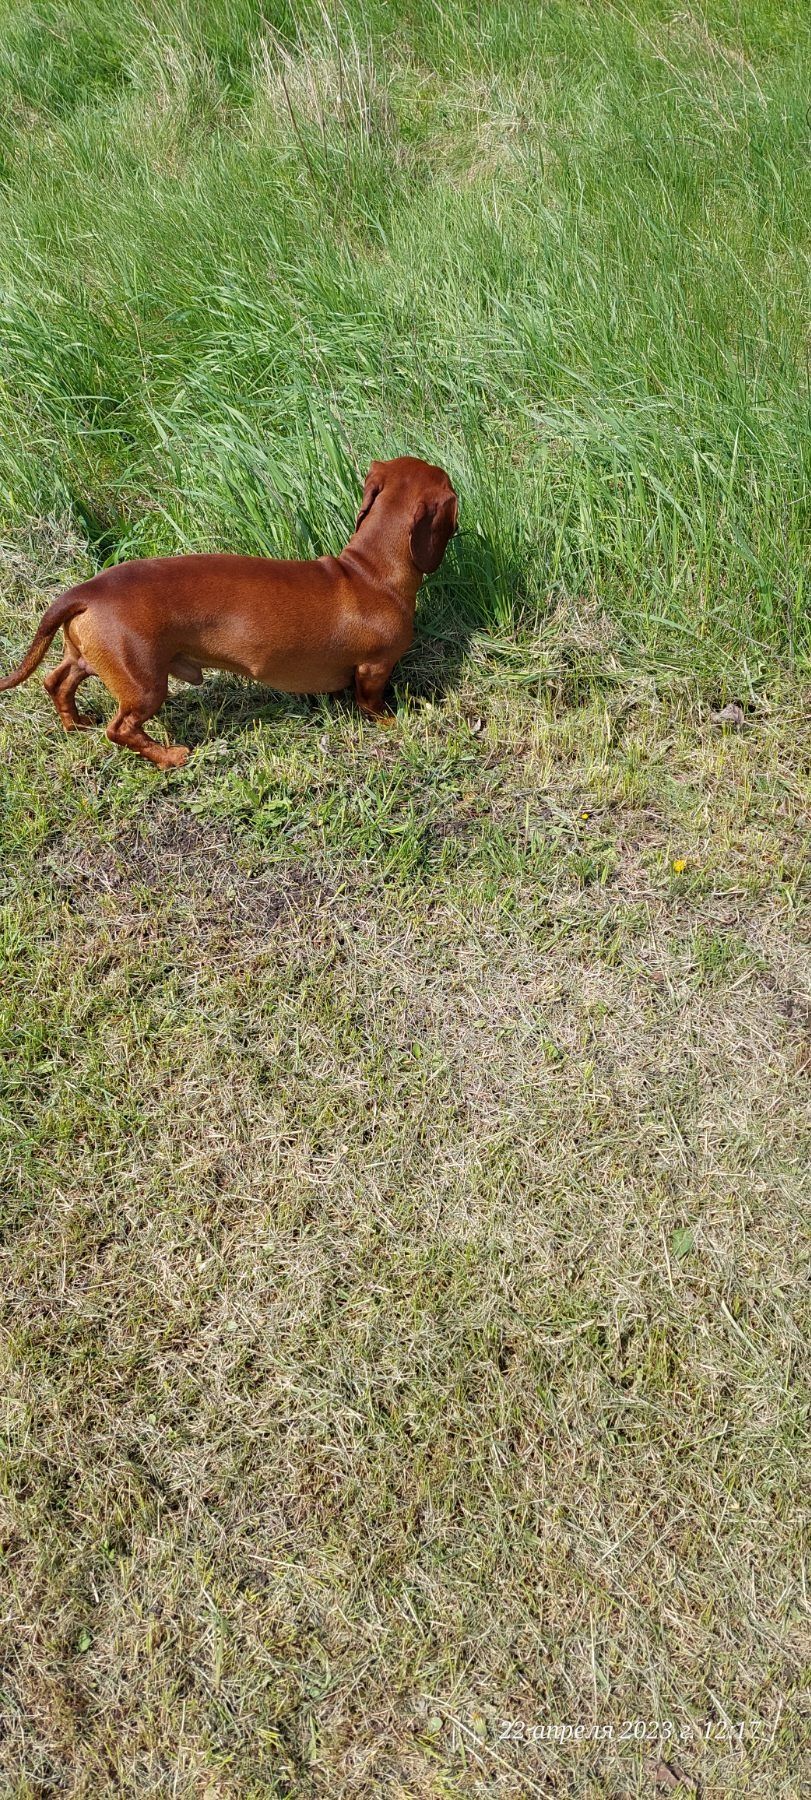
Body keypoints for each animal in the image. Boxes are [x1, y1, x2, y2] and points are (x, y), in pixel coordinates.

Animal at [0, 457, 456, 766]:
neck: (369, 572)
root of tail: (88, 590)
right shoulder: (374, 668)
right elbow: (372, 703)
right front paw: (395, 722)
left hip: (89, 658)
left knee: (57, 682)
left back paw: (75, 723)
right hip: (145, 683)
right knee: (120, 728)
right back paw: (170, 757)